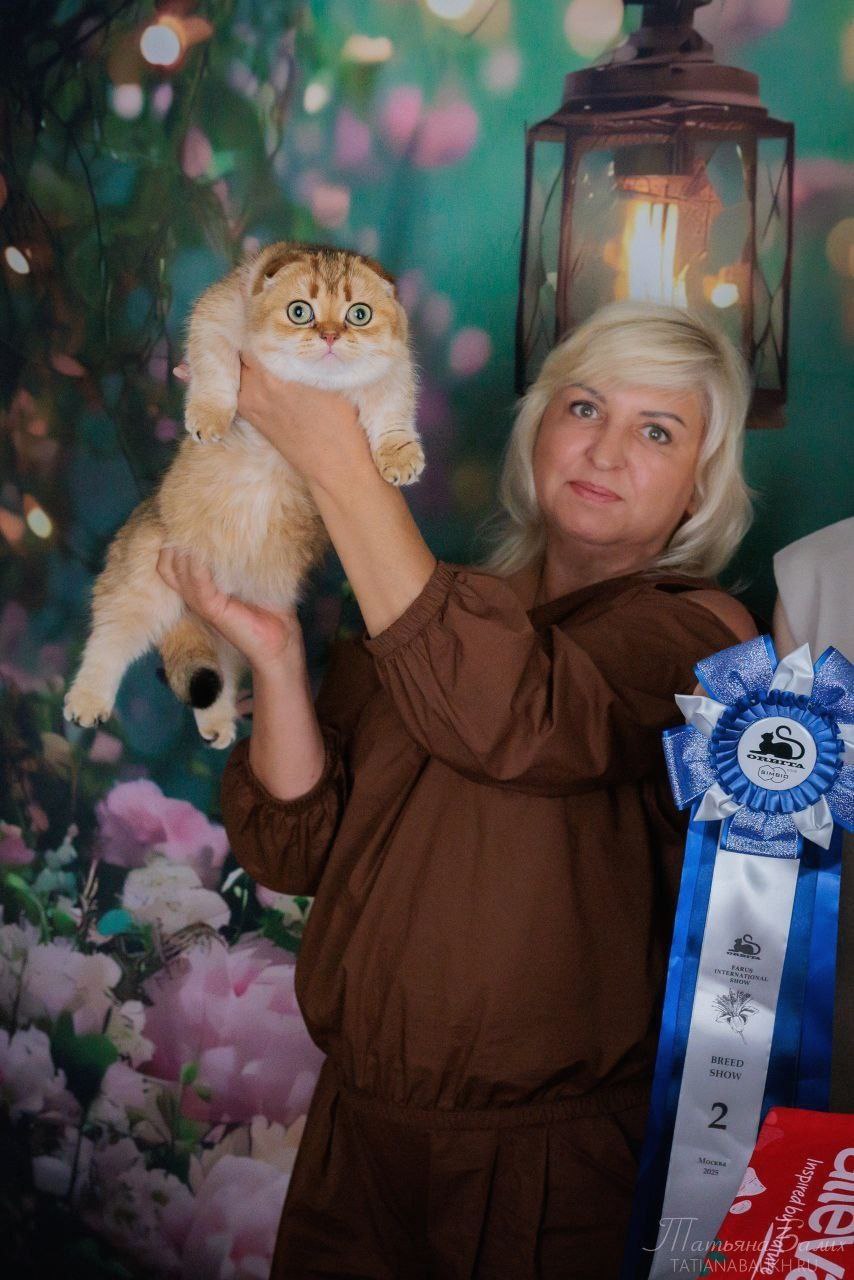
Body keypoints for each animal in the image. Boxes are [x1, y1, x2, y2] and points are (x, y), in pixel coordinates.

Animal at [63, 241, 425, 748]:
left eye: (359, 314)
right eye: (299, 311)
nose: (330, 335)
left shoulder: (392, 376)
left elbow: (393, 414)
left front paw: (399, 457)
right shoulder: (214, 317)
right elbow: (216, 371)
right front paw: (210, 416)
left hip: (238, 621)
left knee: (225, 673)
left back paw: (217, 724)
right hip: (140, 580)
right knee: (108, 643)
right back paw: (87, 701)